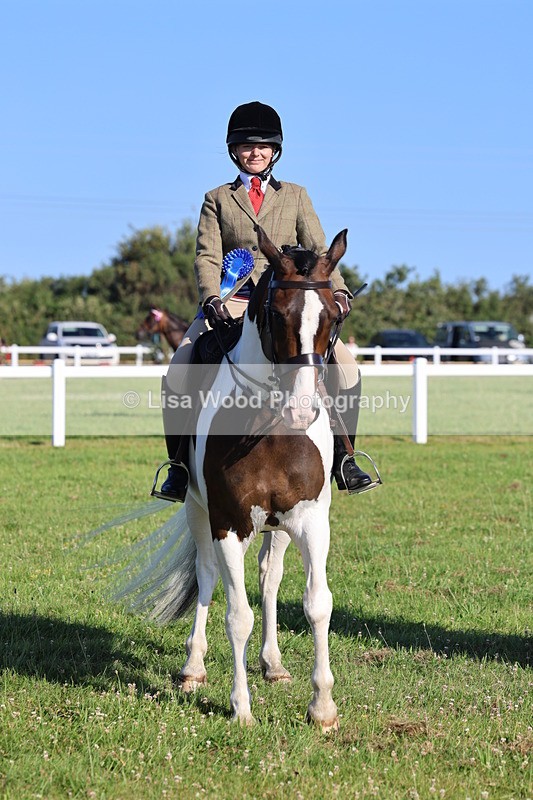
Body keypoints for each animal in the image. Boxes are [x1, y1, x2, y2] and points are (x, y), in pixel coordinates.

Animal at [122, 226, 347, 730]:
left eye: (332, 314)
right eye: (277, 314)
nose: (303, 410)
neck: (269, 426)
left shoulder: (311, 520)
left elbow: (317, 604)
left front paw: (322, 707)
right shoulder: (228, 520)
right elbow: (237, 614)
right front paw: (241, 709)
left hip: (277, 526)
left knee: (268, 580)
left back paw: (273, 664)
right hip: (198, 510)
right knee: (208, 577)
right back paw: (193, 668)